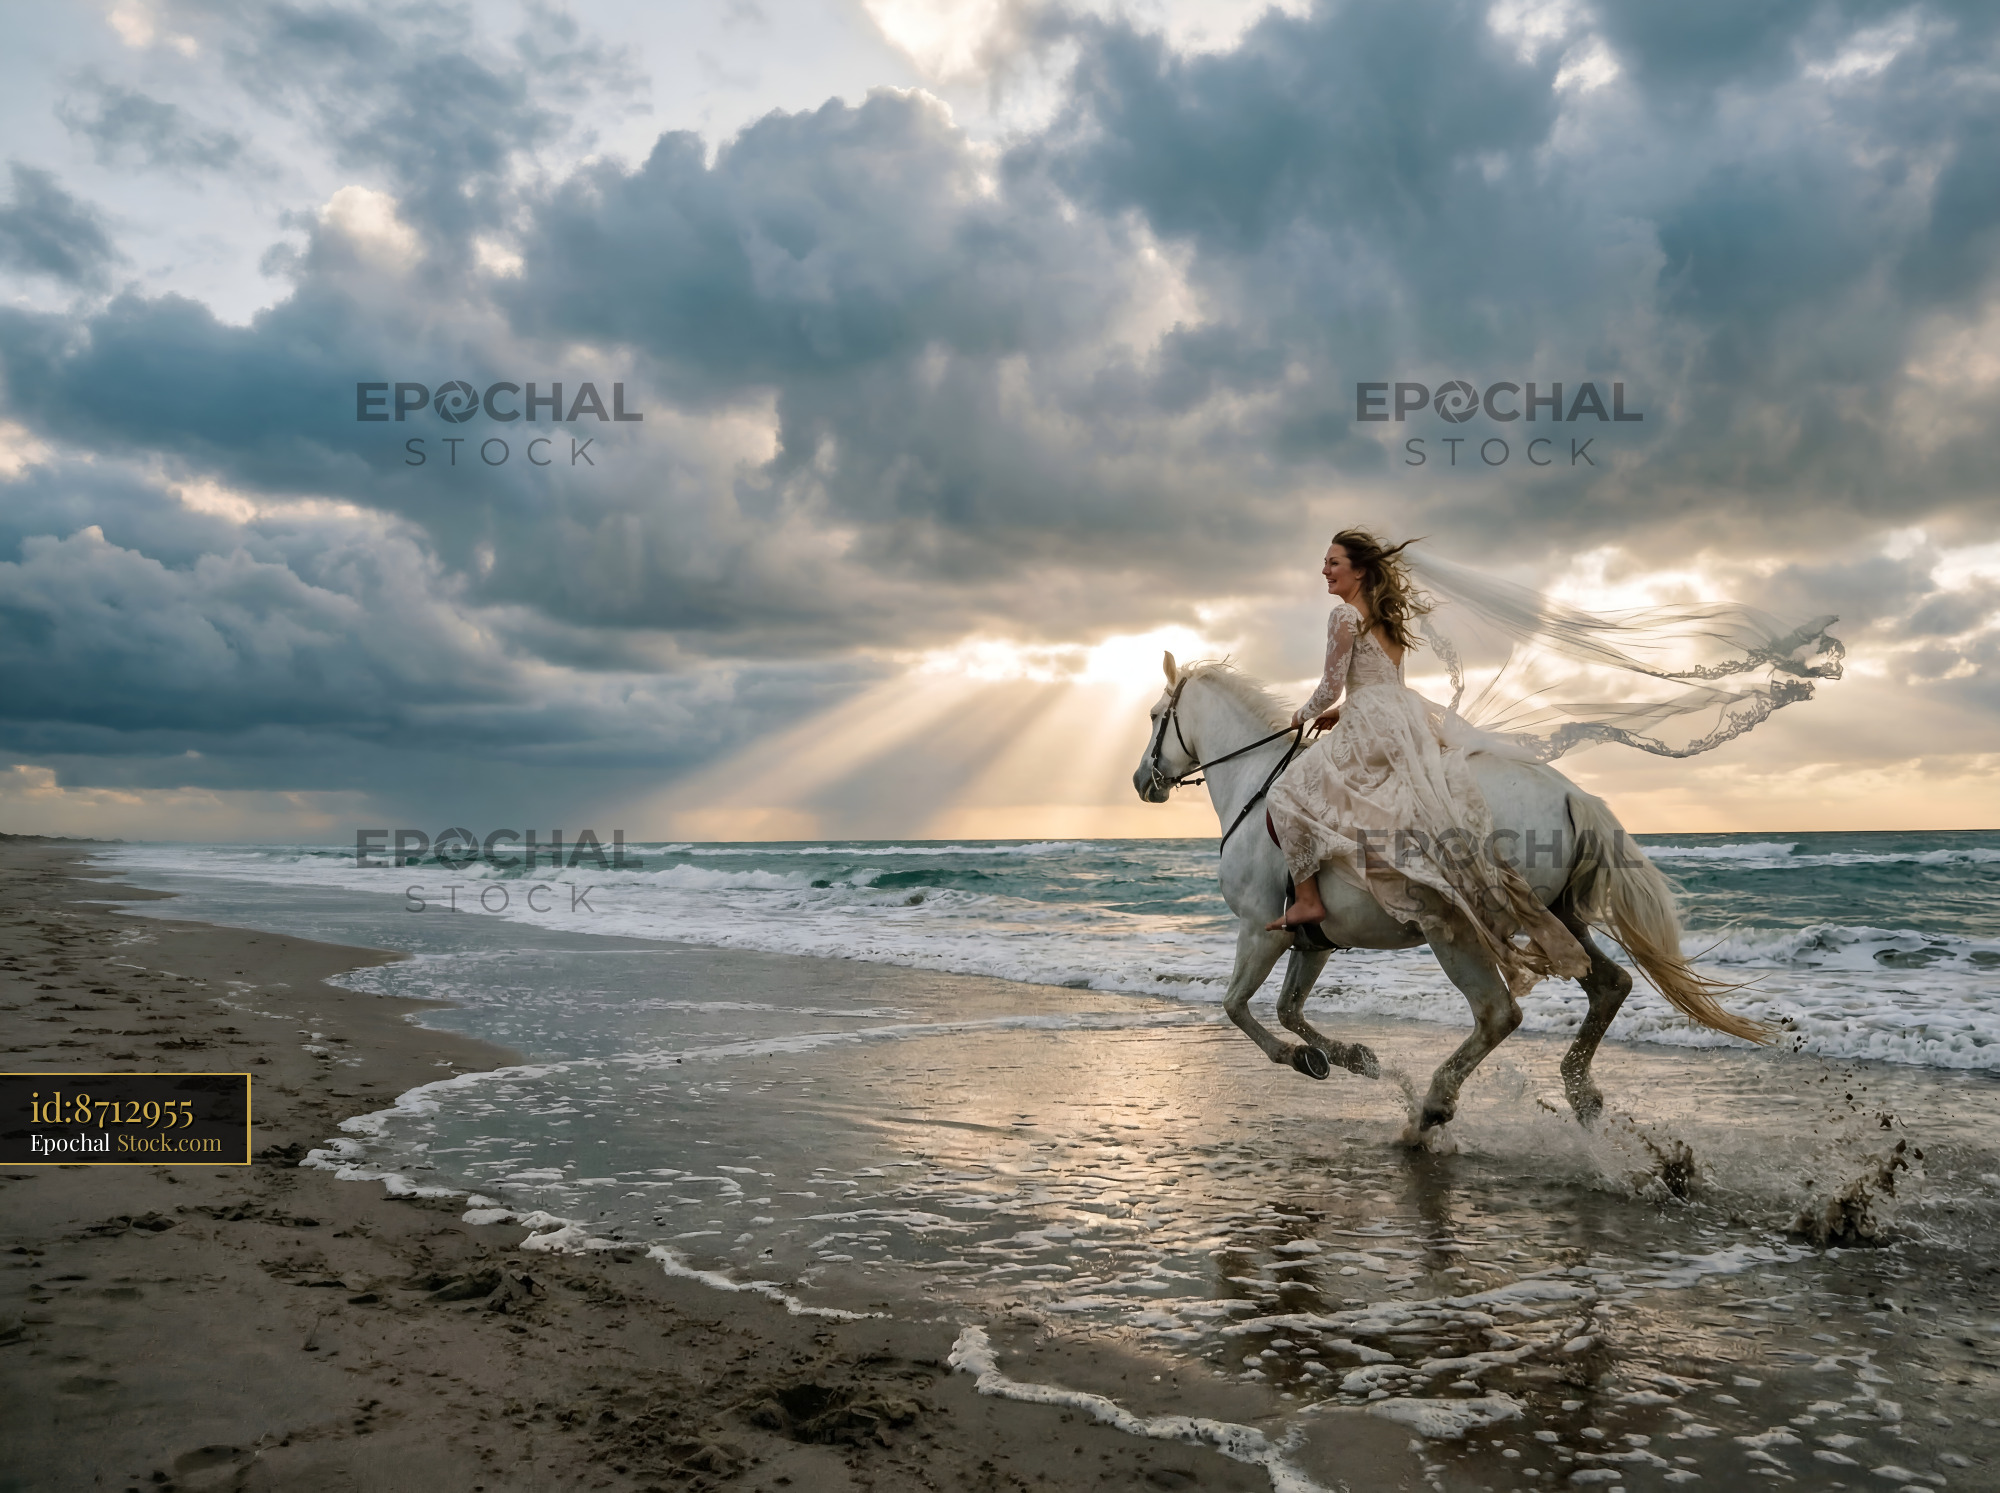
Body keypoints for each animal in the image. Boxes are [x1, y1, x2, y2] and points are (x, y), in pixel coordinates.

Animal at [1132, 652, 1764, 1138]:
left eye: (1157, 716)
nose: (1142, 782)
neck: (1256, 788)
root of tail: (1570, 794)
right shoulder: (1313, 941)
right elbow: (1290, 1009)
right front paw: (1352, 1058)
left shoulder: (1260, 930)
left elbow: (1237, 1006)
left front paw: (1304, 1059)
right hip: (1556, 920)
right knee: (1610, 985)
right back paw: (1583, 1097)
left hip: (1456, 929)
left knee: (1498, 1013)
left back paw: (1433, 1108)